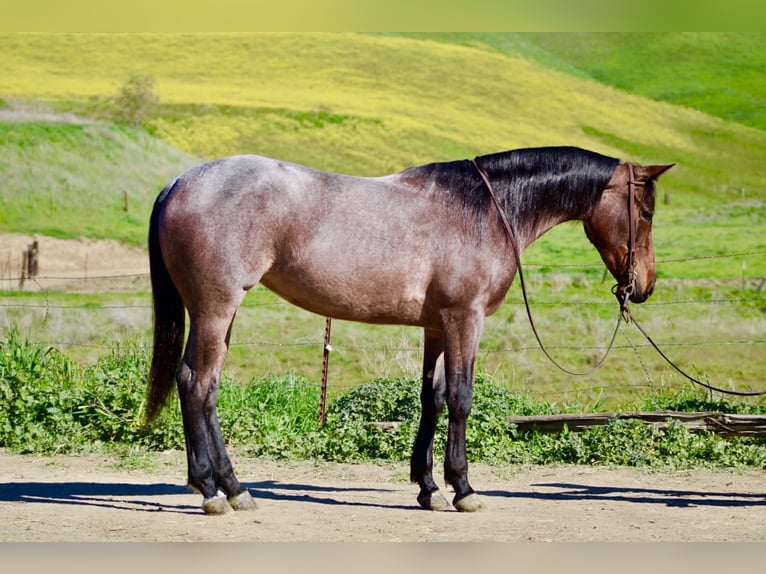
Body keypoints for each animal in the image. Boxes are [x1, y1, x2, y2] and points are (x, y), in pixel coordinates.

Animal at [145, 146, 673, 514]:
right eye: (646, 212)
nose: (644, 286)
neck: (486, 210)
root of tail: (178, 182)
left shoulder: (437, 327)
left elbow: (432, 399)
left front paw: (429, 488)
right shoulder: (465, 318)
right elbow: (460, 398)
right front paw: (463, 489)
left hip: (221, 314)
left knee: (205, 388)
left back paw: (233, 488)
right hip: (215, 309)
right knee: (196, 383)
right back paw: (212, 491)